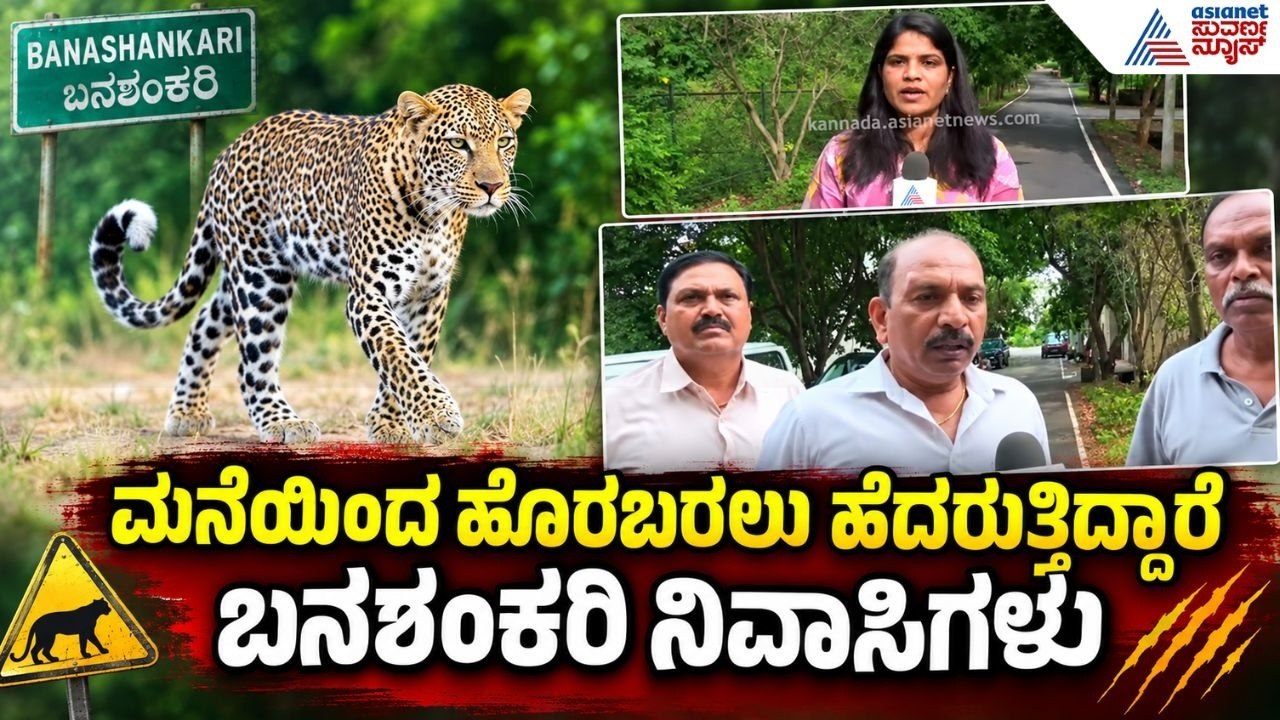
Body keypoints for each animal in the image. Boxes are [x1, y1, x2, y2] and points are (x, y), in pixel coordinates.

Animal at [89, 84, 531, 444]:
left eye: (504, 142)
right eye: (458, 143)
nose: (492, 186)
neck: (435, 213)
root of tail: (226, 154)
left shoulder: (428, 295)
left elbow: (413, 353)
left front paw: (391, 424)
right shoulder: (367, 294)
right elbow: (397, 354)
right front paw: (436, 416)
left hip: (245, 274)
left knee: (205, 321)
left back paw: (187, 412)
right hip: (261, 278)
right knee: (252, 363)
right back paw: (283, 422)